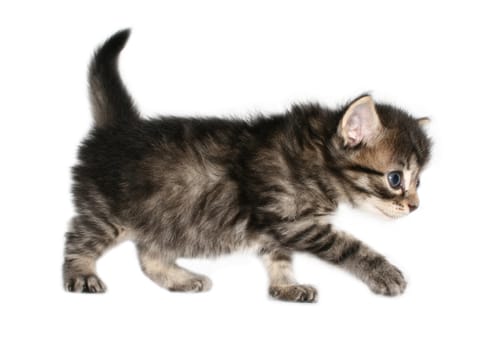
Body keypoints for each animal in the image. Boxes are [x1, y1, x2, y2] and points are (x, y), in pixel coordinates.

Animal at [62, 29, 430, 300]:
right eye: (396, 179)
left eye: (418, 182)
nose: (415, 206)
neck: (316, 157)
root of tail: (116, 128)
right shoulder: (291, 220)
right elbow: (348, 245)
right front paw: (383, 272)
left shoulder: (275, 229)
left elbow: (279, 258)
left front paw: (286, 286)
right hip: (105, 212)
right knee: (78, 237)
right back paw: (81, 274)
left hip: (163, 219)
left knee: (150, 256)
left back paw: (181, 280)